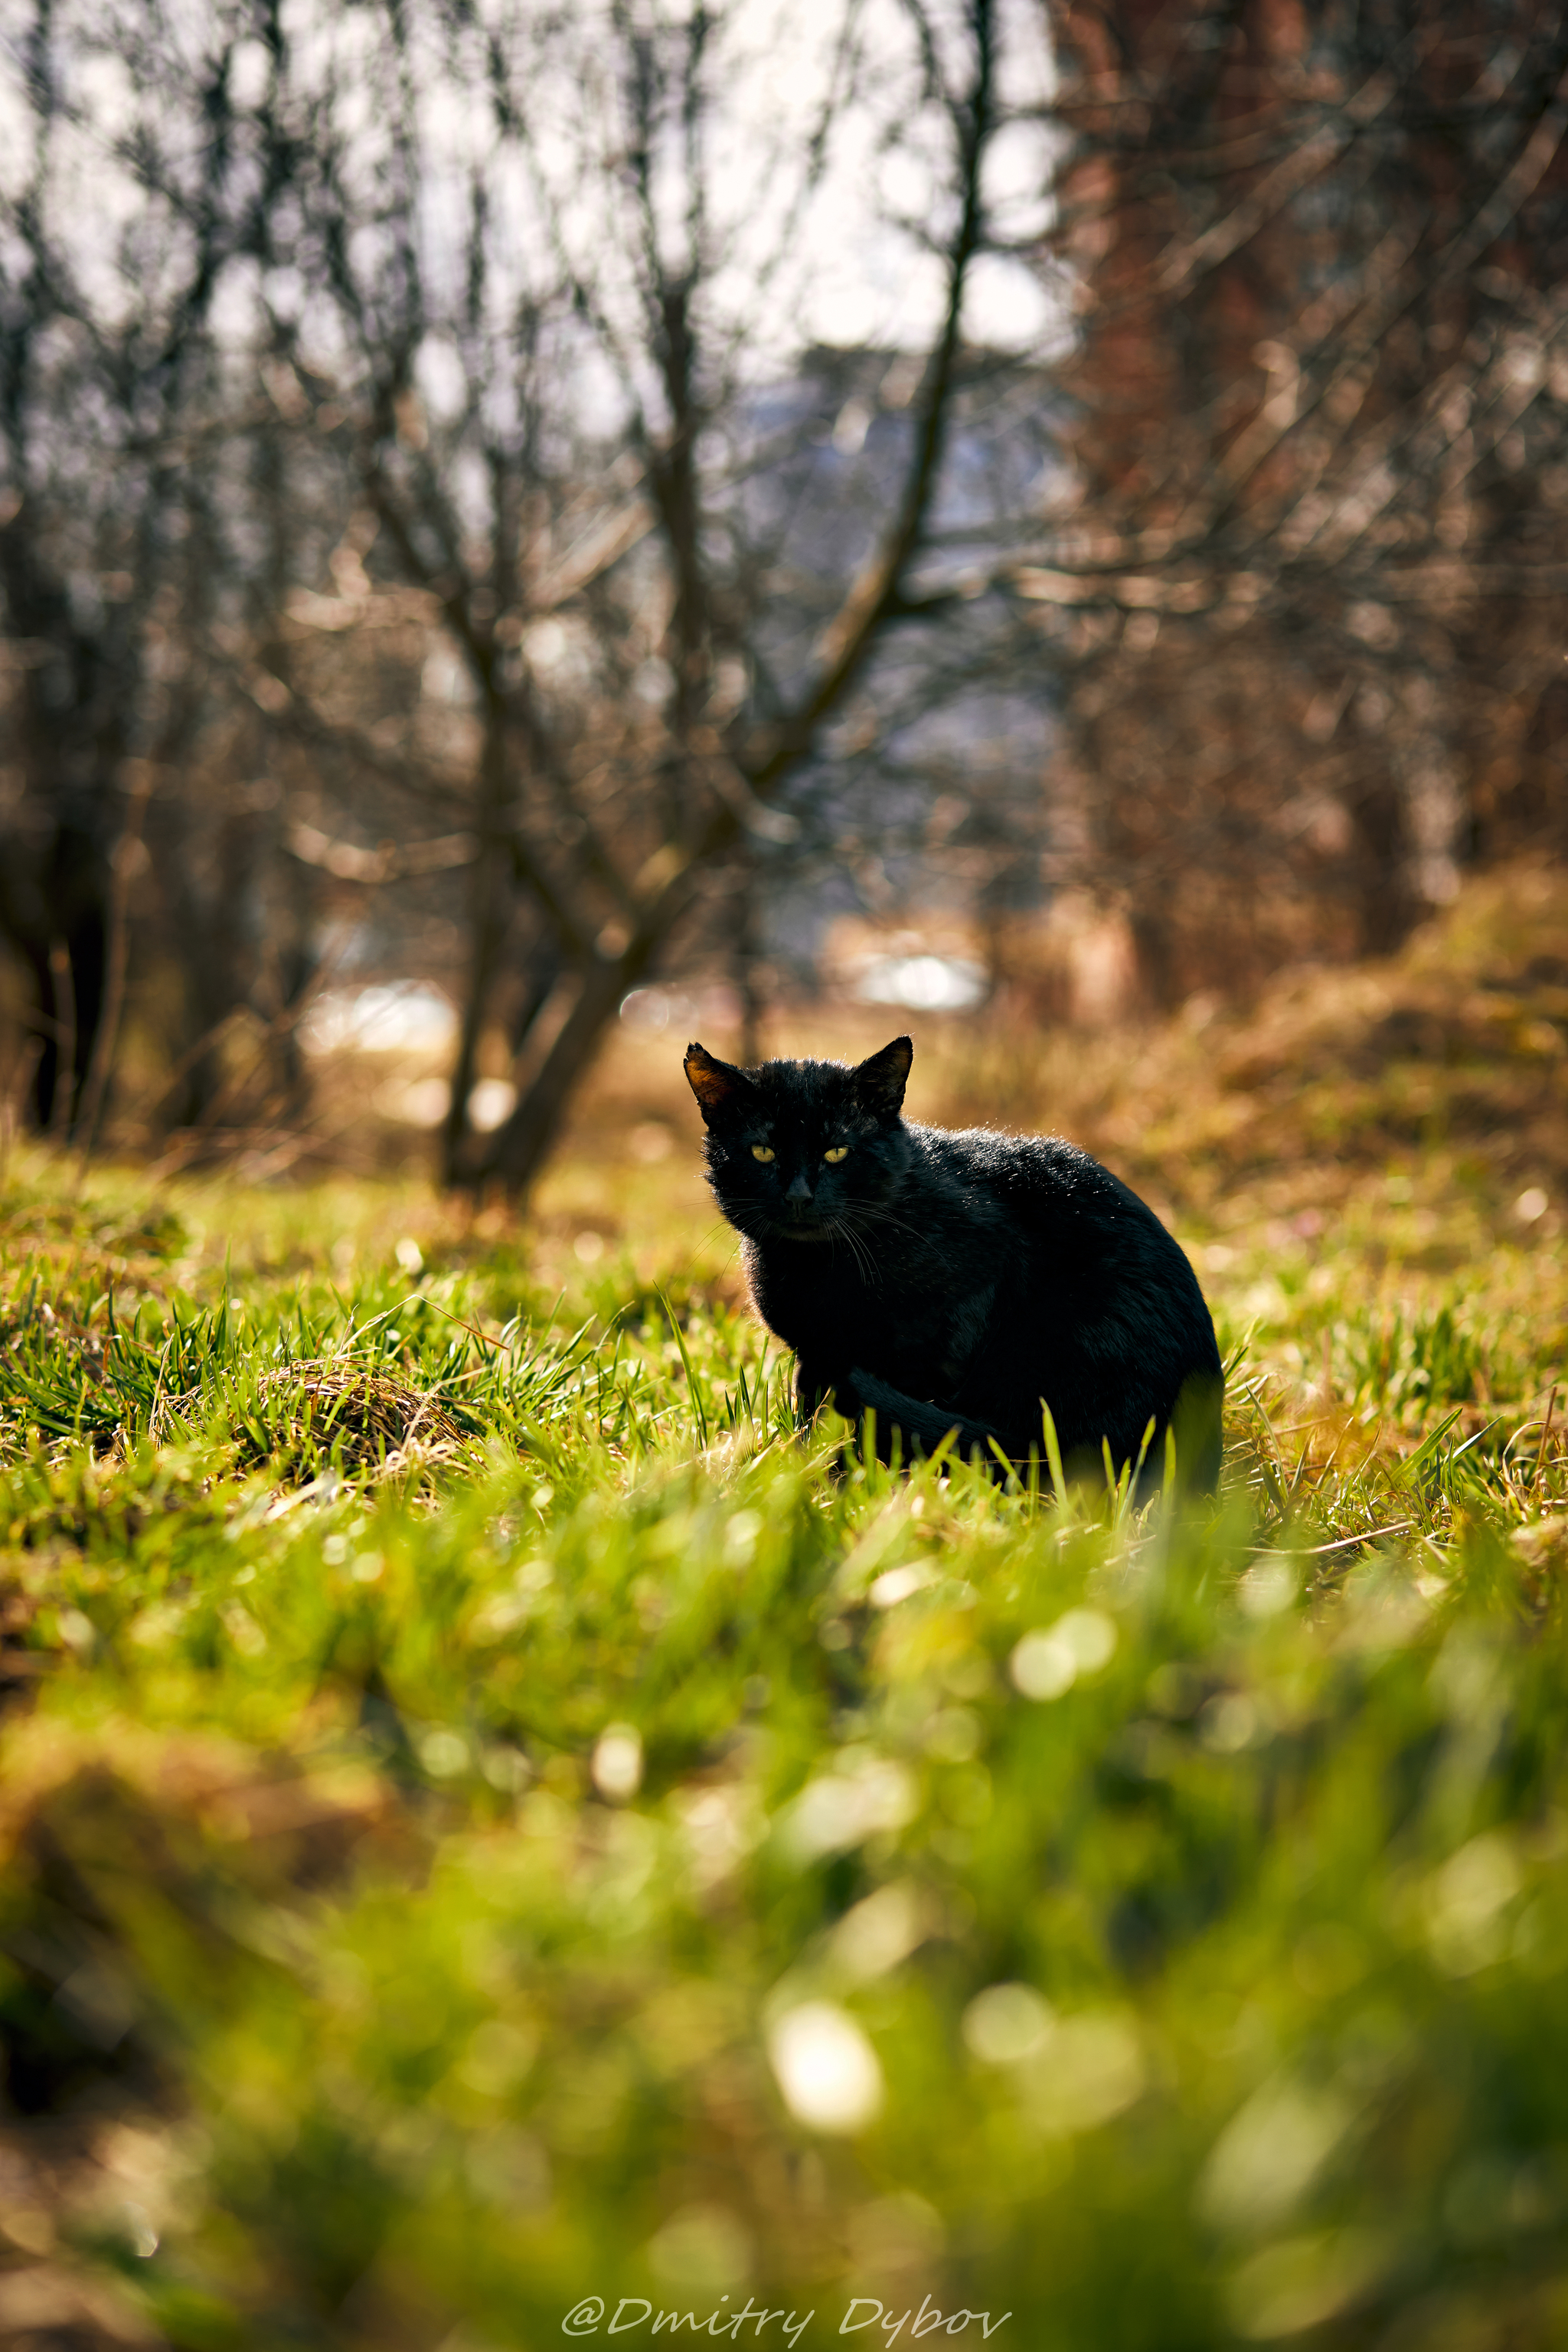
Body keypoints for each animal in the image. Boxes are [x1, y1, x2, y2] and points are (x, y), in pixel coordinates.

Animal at [686, 1034, 1222, 1486]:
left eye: (837, 1152)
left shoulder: (962, 1309)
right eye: (762, 1152)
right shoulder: (812, 1350)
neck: (816, 1268)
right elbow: (809, 1414)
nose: (798, 1195)